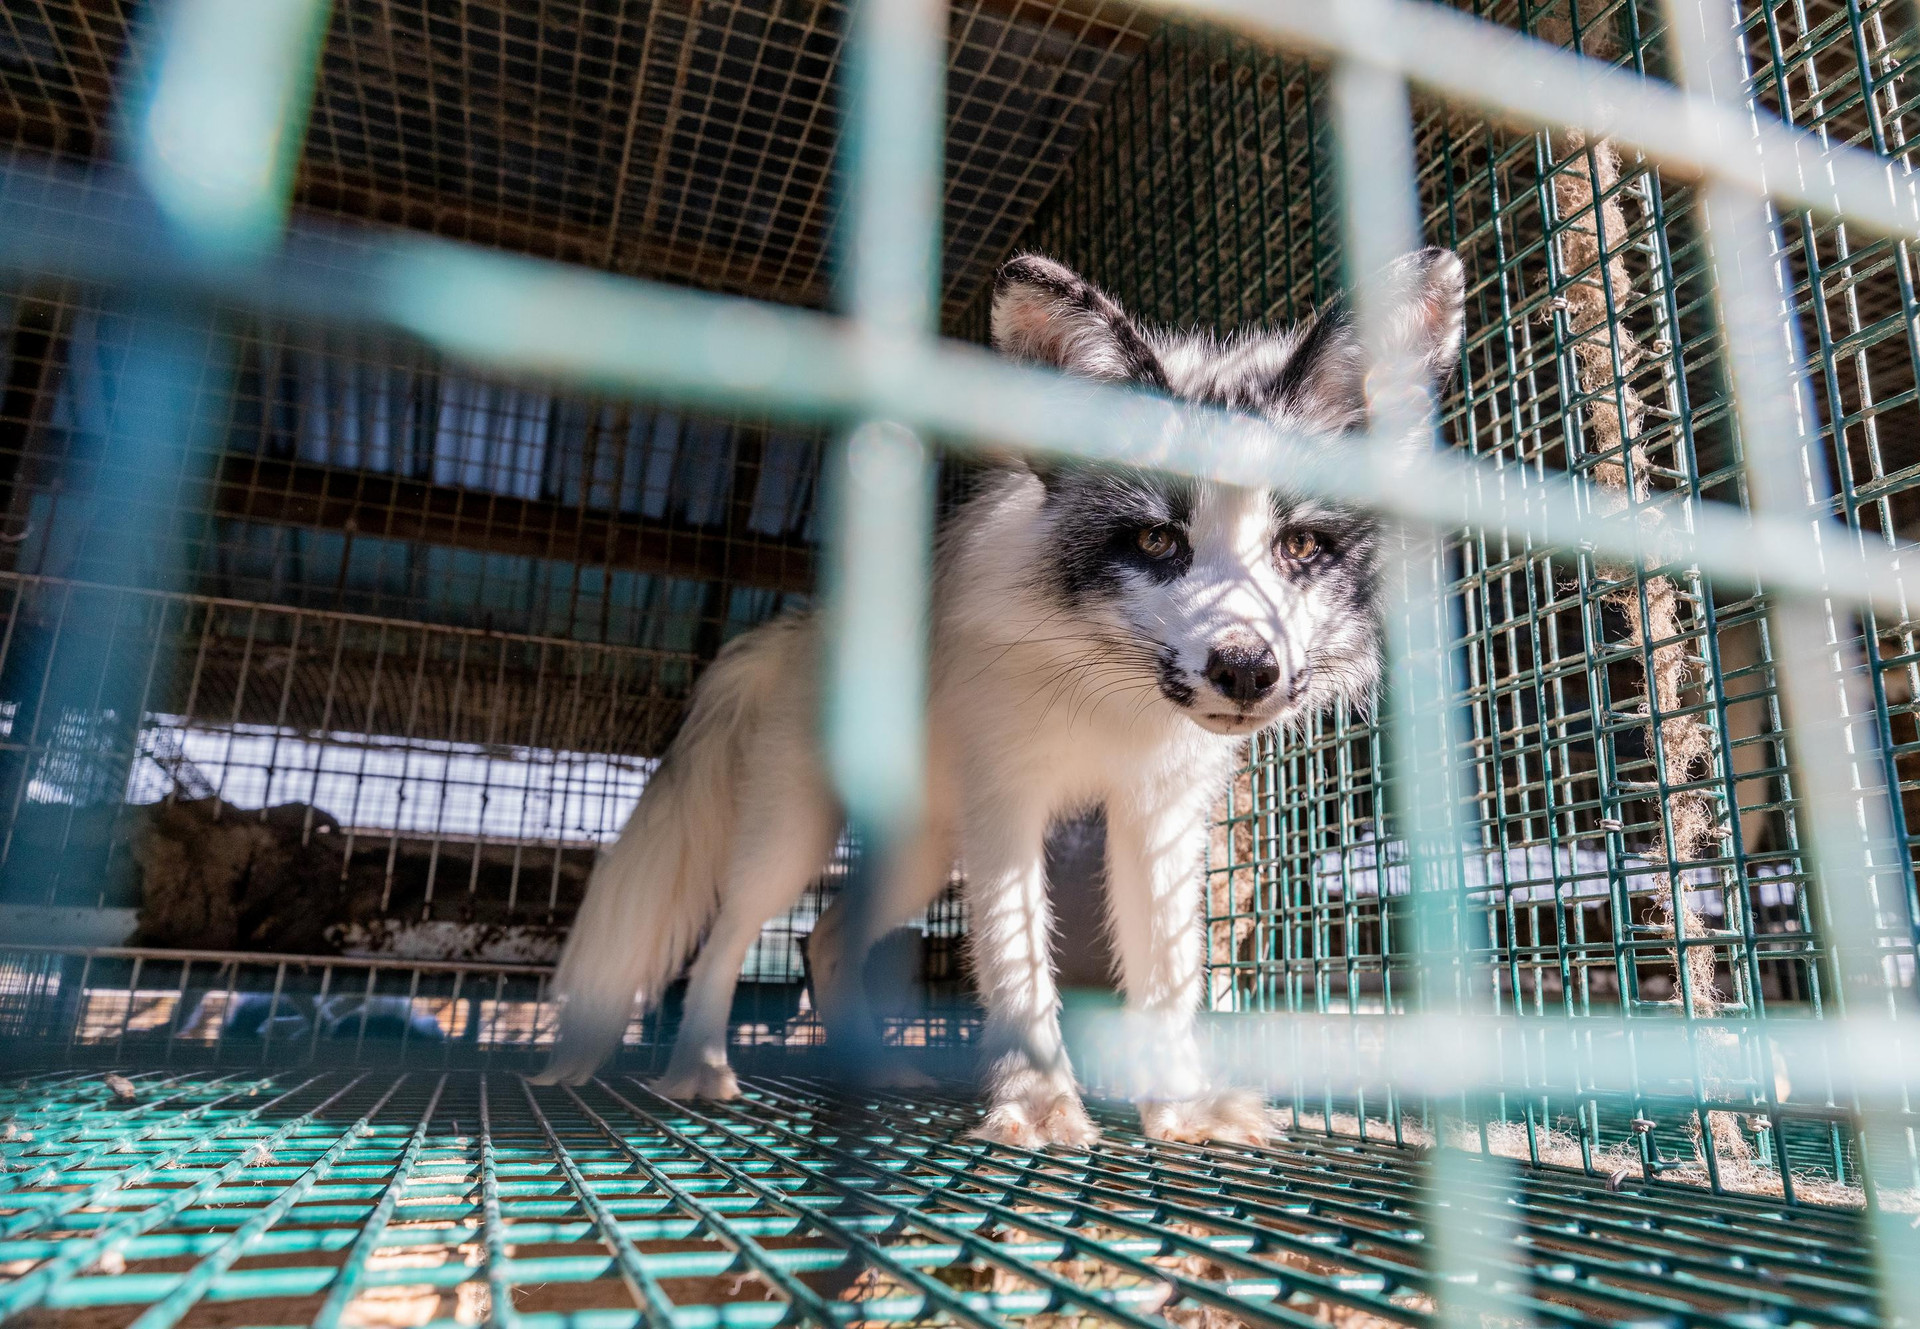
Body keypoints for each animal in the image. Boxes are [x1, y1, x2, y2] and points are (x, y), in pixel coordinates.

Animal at [534, 247, 1466, 1147]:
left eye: (1300, 545)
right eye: (1157, 539)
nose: (1245, 670)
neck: (1111, 695)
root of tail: (802, 627)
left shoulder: (1160, 812)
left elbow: (1169, 977)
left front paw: (1183, 1109)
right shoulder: (1007, 802)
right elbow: (1020, 968)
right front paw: (1040, 1106)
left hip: (921, 851)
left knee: (824, 936)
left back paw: (877, 1072)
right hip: (796, 836)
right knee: (731, 935)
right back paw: (699, 1068)